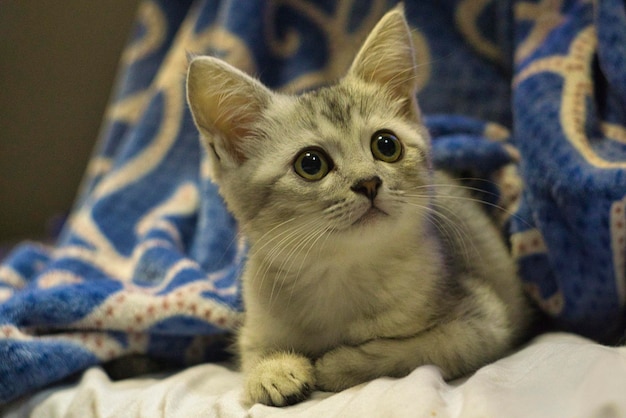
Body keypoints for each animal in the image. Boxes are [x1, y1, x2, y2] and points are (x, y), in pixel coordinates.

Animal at [184, 4, 528, 406]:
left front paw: (338, 364)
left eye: (386, 145)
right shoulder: (255, 323)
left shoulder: (484, 321)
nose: (368, 183)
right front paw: (273, 371)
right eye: (311, 164)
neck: (339, 271)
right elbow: (251, 354)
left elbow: (415, 348)